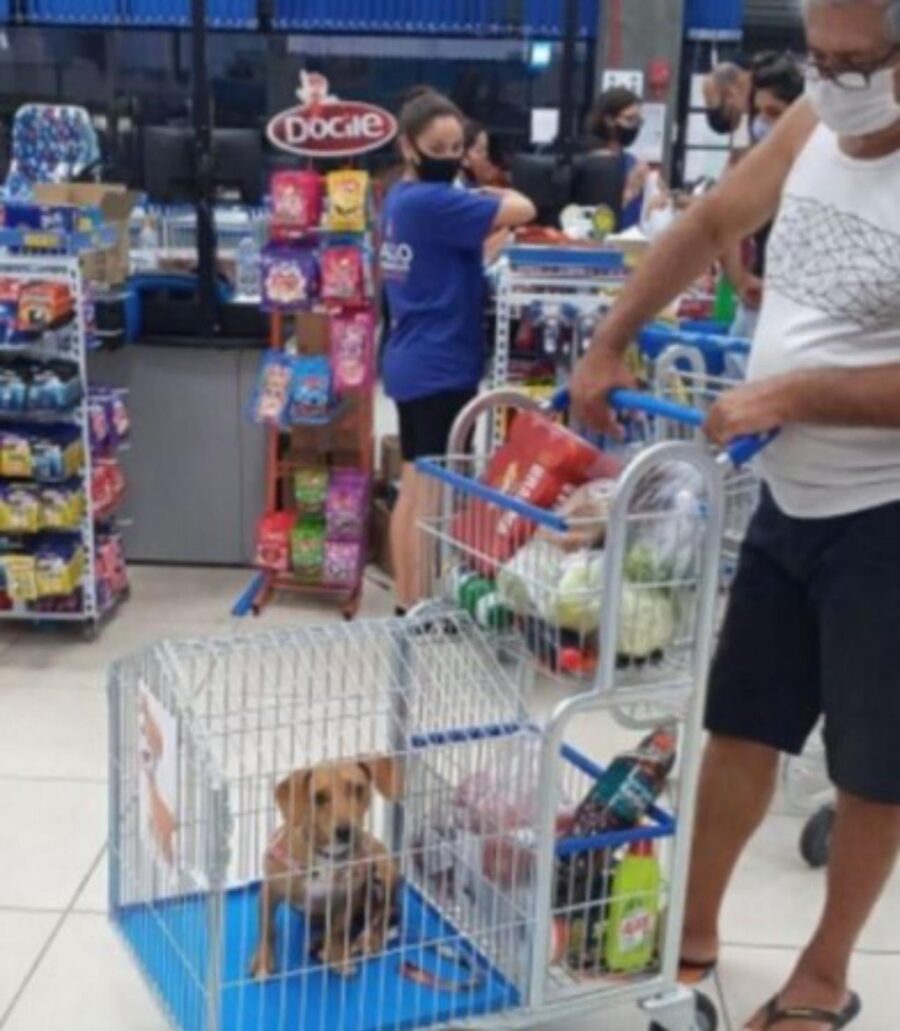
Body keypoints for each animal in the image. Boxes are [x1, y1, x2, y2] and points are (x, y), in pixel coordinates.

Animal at [252, 754, 408, 977]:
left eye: (358, 789)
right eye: (319, 798)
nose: (345, 831)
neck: (327, 857)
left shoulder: (347, 898)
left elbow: (337, 929)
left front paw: (336, 957)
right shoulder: (269, 892)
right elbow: (268, 929)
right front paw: (263, 962)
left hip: (384, 871)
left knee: (385, 913)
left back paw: (367, 940)